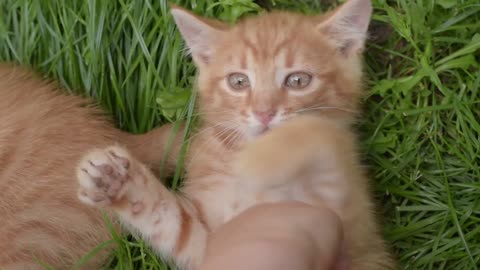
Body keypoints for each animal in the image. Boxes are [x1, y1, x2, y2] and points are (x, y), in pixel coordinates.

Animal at [78, 0, 394, 268]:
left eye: (298, 80)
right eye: (238, 81)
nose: (264, 113)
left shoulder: (344, 213)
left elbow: (319, 146)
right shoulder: (212, 243)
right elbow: (172, 222)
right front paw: (117, 179)